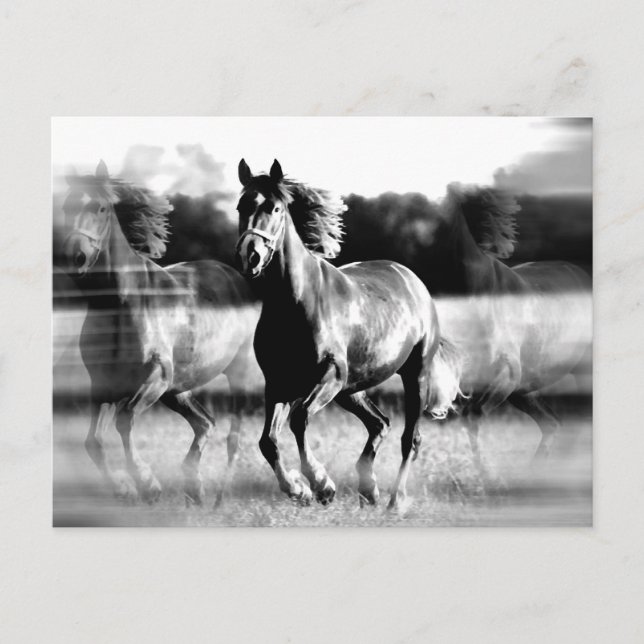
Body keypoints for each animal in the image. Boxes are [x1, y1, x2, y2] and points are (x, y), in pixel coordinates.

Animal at [60, 160, 260, 505]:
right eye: (64, 207)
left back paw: (219, 496)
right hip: (178, 390)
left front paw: (147, 483)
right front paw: (125, 488)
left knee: (233, 436)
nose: (76, 258)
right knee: (205, 423)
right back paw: (194, 487)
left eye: (100, 207)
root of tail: (233, 275)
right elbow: (93, 442)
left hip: (235, 374)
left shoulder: (156, 377)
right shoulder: (103, 385)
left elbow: (125, 419)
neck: (122, 306)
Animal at [234, 159, 462, 509]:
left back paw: (395, 502)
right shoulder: (278, 384)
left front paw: (321, 484)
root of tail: (413, 281)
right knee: (380, 423)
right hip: (351, 389)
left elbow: (299, 419)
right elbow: (267, 441)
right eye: (240, 206)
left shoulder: (330, 375)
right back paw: (369, 489)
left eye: (274, 208)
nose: (251, 256)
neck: (297, 303)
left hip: (412, 376)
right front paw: (298, 489)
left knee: (410, 439)